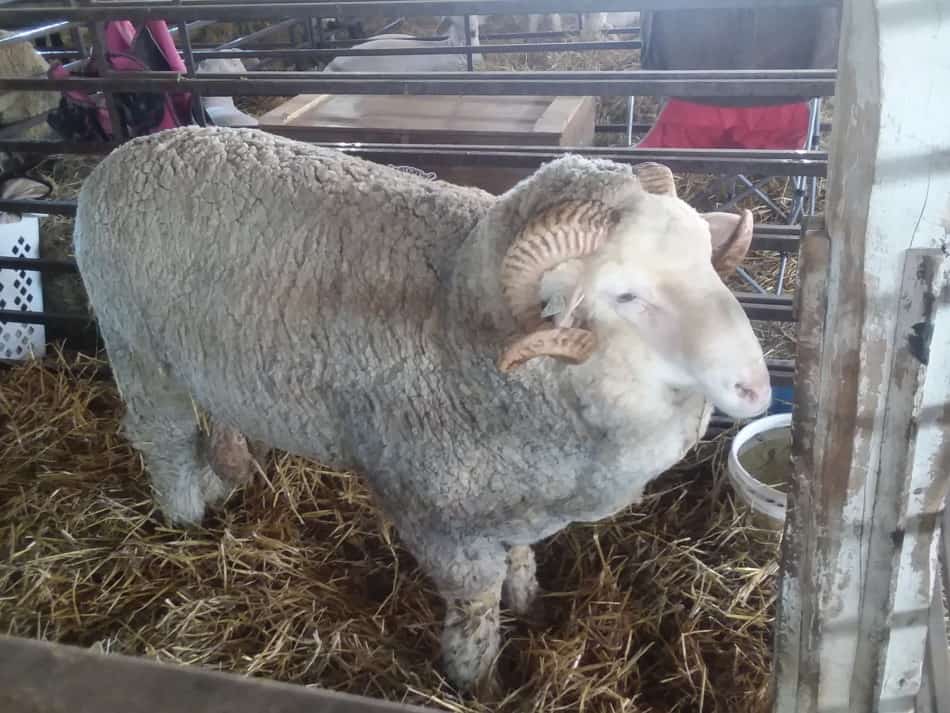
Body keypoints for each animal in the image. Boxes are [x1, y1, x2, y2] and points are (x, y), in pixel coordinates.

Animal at [74, 125, 772, 692]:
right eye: (626, 294)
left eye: (705, 259)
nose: (756, 388)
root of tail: (124, 155)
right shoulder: (437, 510)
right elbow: (475, 601)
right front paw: (477, 679)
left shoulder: (514, 492)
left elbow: (520, 558)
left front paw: (530, 603)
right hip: (134, 342)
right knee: (162, 435)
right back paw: (185, 516)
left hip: (208, 358)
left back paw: (230, 474)